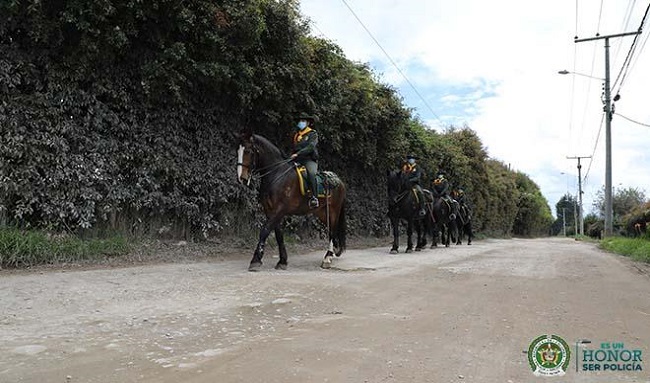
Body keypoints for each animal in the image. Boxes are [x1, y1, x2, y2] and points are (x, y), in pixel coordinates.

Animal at [238, 132, 346, 270]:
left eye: (248, 151)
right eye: (238, 151)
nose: (242, 178)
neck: (276, 175)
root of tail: (339, 182)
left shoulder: (279, 210)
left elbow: (264, 231)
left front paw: (256, 260)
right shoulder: (270, 211)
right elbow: (278, 235)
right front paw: (282, 261)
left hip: (333, 211)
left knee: (332, 231)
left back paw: (327, 258)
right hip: (322, 213)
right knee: (332, 230)